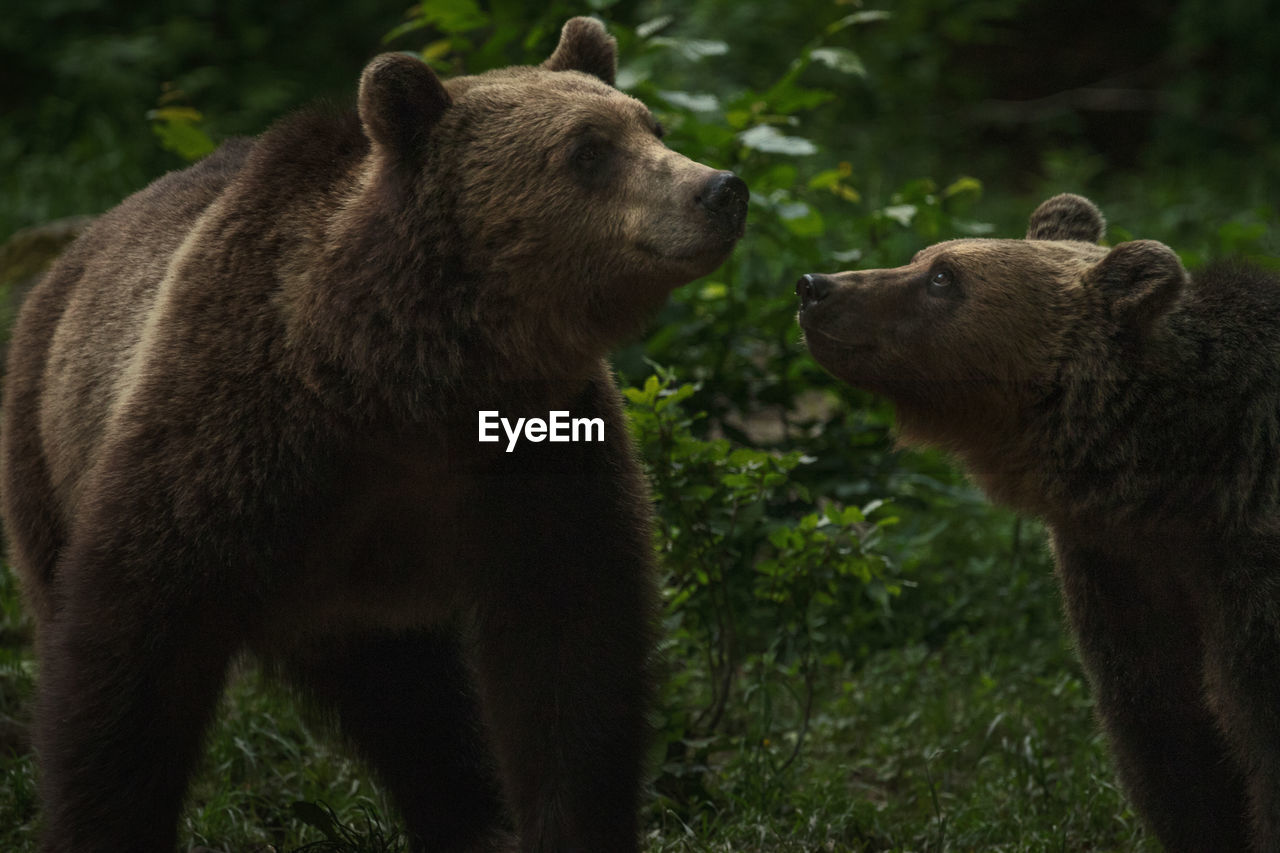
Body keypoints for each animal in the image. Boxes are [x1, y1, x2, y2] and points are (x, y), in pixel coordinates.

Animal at [0, 16, 747, 850]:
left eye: (652, 126)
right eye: (587, 150)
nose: (721, 188)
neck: (409, 385)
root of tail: (66, 260)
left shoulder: (540, 462)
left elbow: (570, 660)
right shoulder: (227, 443)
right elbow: (131, 653)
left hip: (357, 606)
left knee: (414, 706)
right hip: (44, 460)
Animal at [793, 194, 1280, 850]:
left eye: (944, 276)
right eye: (924, 257)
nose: (814, 286)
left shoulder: (1247, 570)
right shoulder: (1120, 571)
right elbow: (1166, 730)